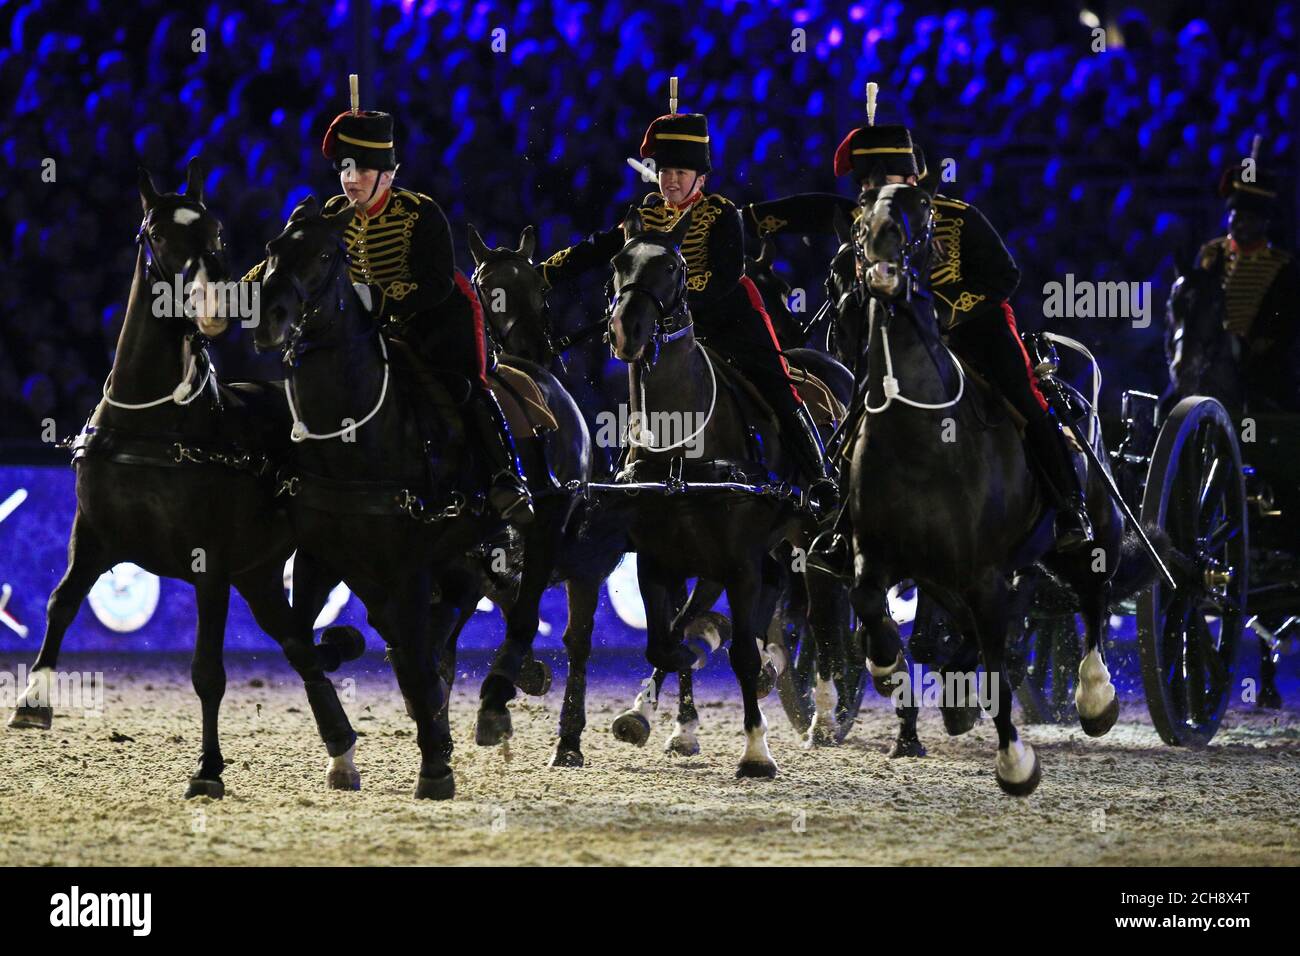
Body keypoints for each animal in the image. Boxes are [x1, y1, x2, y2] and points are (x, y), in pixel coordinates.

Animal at [6, 158, 361, 801]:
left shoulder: (209, 566)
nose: (218, 304)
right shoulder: (93, 534)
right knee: (298, 645)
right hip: (260, 574)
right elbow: (60, 601)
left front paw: (209, 769)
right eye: (156, 233)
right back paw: (341, 751)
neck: (153, 426)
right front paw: (34, 700)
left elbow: (207, 672)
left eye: (217, 232)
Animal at [847, 183, 1133, 796]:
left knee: (1094, 599)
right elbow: (868, 603)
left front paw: (1015, 762)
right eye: (860, 219)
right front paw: (886, 666)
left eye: (920, 216)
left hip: (1094, 537)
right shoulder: (876, 553)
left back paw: (1096, 697)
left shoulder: (982, 576)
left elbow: (1001, 667)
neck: (919, 432)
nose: (883, 267)